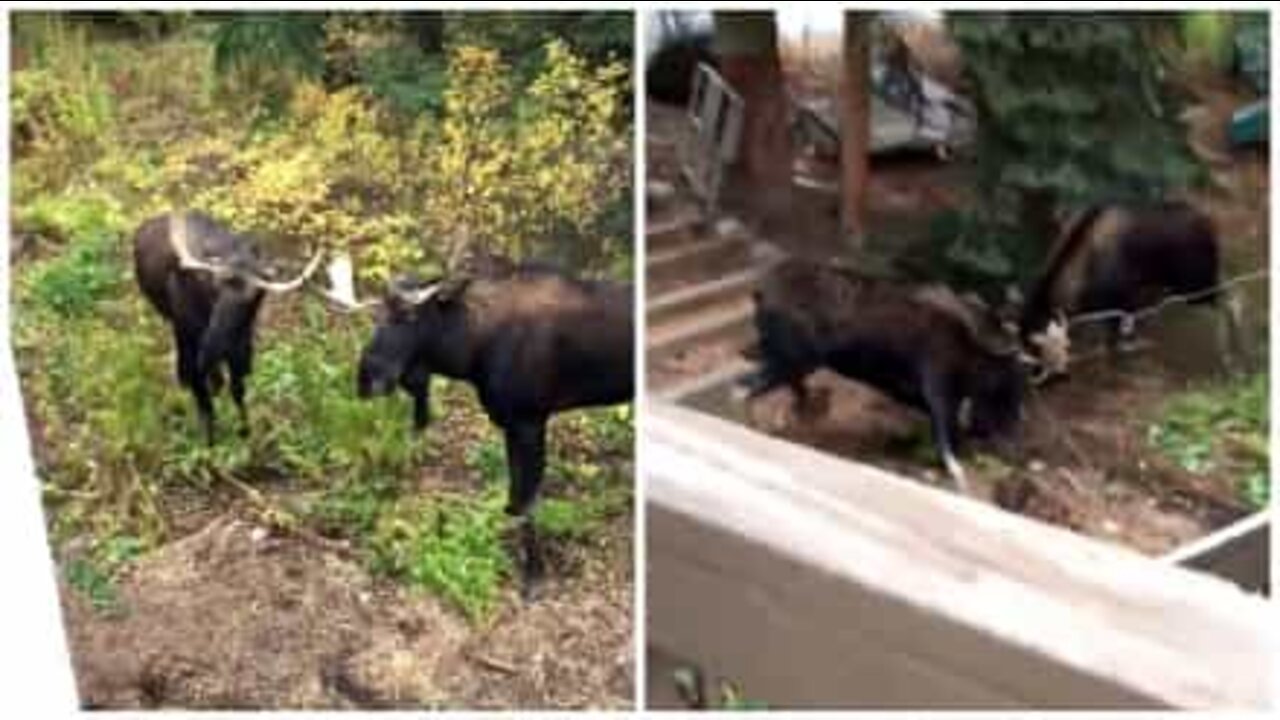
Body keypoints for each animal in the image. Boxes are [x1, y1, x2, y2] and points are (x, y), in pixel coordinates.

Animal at [133, 210, 322, 440]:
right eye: (215, 285)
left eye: (253, 295)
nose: (213, 346)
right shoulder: (192, 340)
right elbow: (205, 403)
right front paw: (210, 440)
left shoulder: (241, 349)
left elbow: (238, 390)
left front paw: (245, 430)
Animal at [335, 254, 634, 591]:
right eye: (379, 313)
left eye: (409, 316)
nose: (365, 379)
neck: (472, 352)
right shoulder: (512, 423)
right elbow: (513, 500)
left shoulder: (529, 420)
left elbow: (526, 501)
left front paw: (535, 574)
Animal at [737, 254, 1024, 489]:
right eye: (1009, 388)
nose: (1016, 440)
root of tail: (760, 291)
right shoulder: (937, 385)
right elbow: (946, 431)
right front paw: (958, 471)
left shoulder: (913, 389)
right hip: (795, 359)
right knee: (750, 387)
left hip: (789, 358)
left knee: (764, 383)